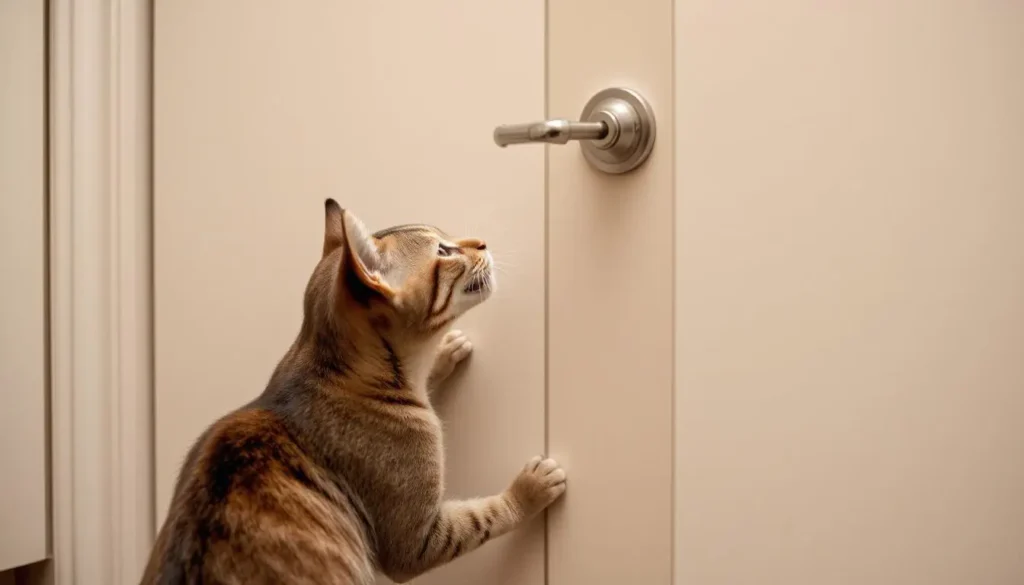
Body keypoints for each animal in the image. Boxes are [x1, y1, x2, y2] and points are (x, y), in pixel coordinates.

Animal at [139, 201, 565, 585]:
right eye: (443, 251)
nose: (482, 242)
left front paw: (444, 353)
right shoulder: (414, 545)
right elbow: (483, 516)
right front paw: (529, 488)